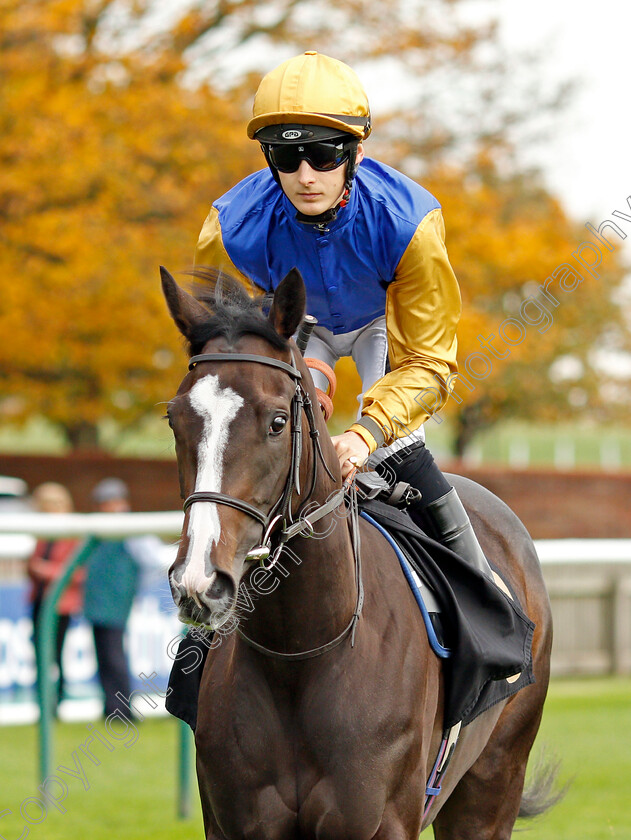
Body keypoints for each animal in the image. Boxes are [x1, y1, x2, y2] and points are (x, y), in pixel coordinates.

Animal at [162, 264, 552, 840]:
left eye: (277, 421)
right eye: (175, 419)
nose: (199, 581)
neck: (302, 652)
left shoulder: (380, 821)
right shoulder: (234, 822)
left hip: (492, 782)